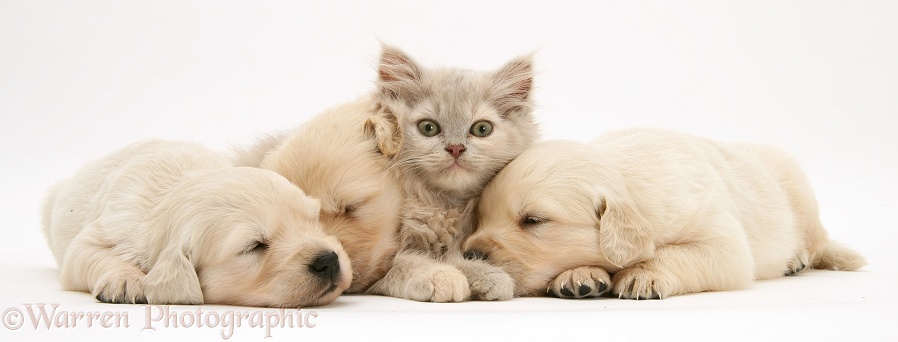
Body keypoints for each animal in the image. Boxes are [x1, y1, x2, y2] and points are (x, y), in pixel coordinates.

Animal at [42, 139, 350, 308]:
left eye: (313, 220)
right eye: (254, 246)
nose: (328, 260)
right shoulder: (104, 231)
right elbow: (87, 254)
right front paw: (126, 281)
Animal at [366, 44, 536, 300]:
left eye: (482, 129)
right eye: (428, 128)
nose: (455, 148)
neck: (443, 206)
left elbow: (456, 259)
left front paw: (487, 276)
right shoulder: (374, 262)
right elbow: (407, 263)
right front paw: (441, 277)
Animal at [462, 128, 860, 300]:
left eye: (533, 220)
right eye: (481, 219)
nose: (469, 254)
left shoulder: (723, 243)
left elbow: (681, 253)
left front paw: (643, 274)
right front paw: (579, 274)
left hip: (797, 185)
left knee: (818, 240)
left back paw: (796, 259)